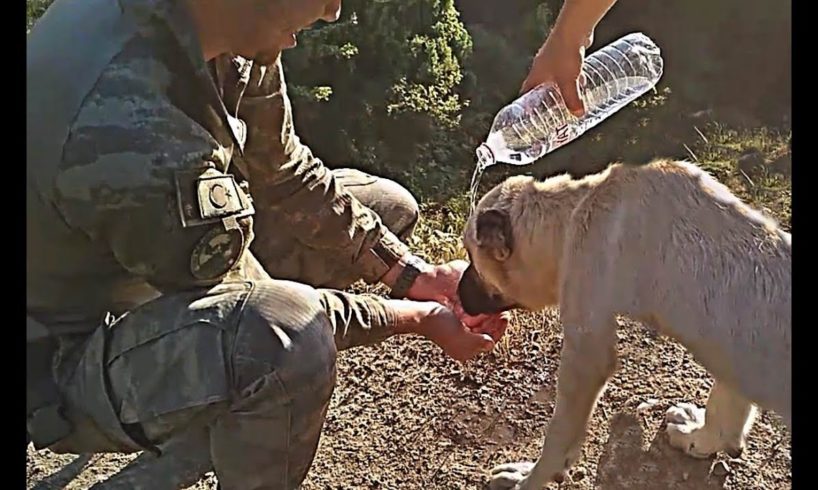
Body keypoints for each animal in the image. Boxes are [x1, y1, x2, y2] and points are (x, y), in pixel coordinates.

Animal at [456, 159, 788, 488]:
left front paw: (528, 478)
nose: (457, 293)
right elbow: (725, 414)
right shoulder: (733, 360)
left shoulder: (586, 356)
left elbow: (556, 440)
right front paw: (699, 438)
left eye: (472, 256)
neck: (575, 211)